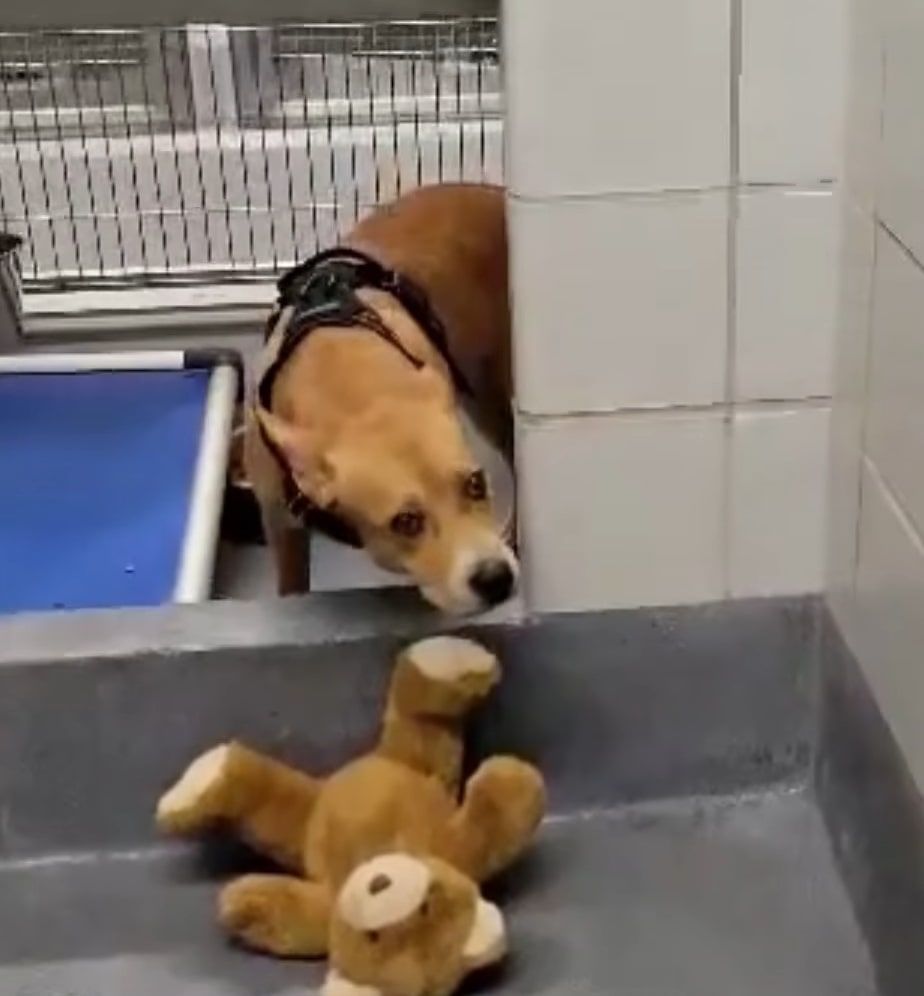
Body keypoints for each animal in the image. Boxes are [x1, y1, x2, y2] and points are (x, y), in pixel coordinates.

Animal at [245, 182, 516, 612]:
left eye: (475, 484)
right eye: (405, 522)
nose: (496, 578)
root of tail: (495, 191)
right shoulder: (279, 525)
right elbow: (290, 583)